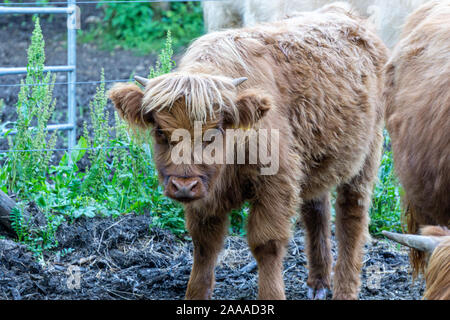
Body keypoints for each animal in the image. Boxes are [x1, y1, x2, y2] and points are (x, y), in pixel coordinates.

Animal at [108, 4, 386, 300]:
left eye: (214, 132)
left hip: (365, 159)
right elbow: (204, 244)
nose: (184, 185)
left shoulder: (275, 186)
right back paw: (318, 284)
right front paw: (195, 295)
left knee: (351, 218)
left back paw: (344, 289)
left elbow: (267, 244)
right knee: (317, 212)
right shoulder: (206, 195)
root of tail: (343, 12)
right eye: (160, 132)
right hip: (316, 164)